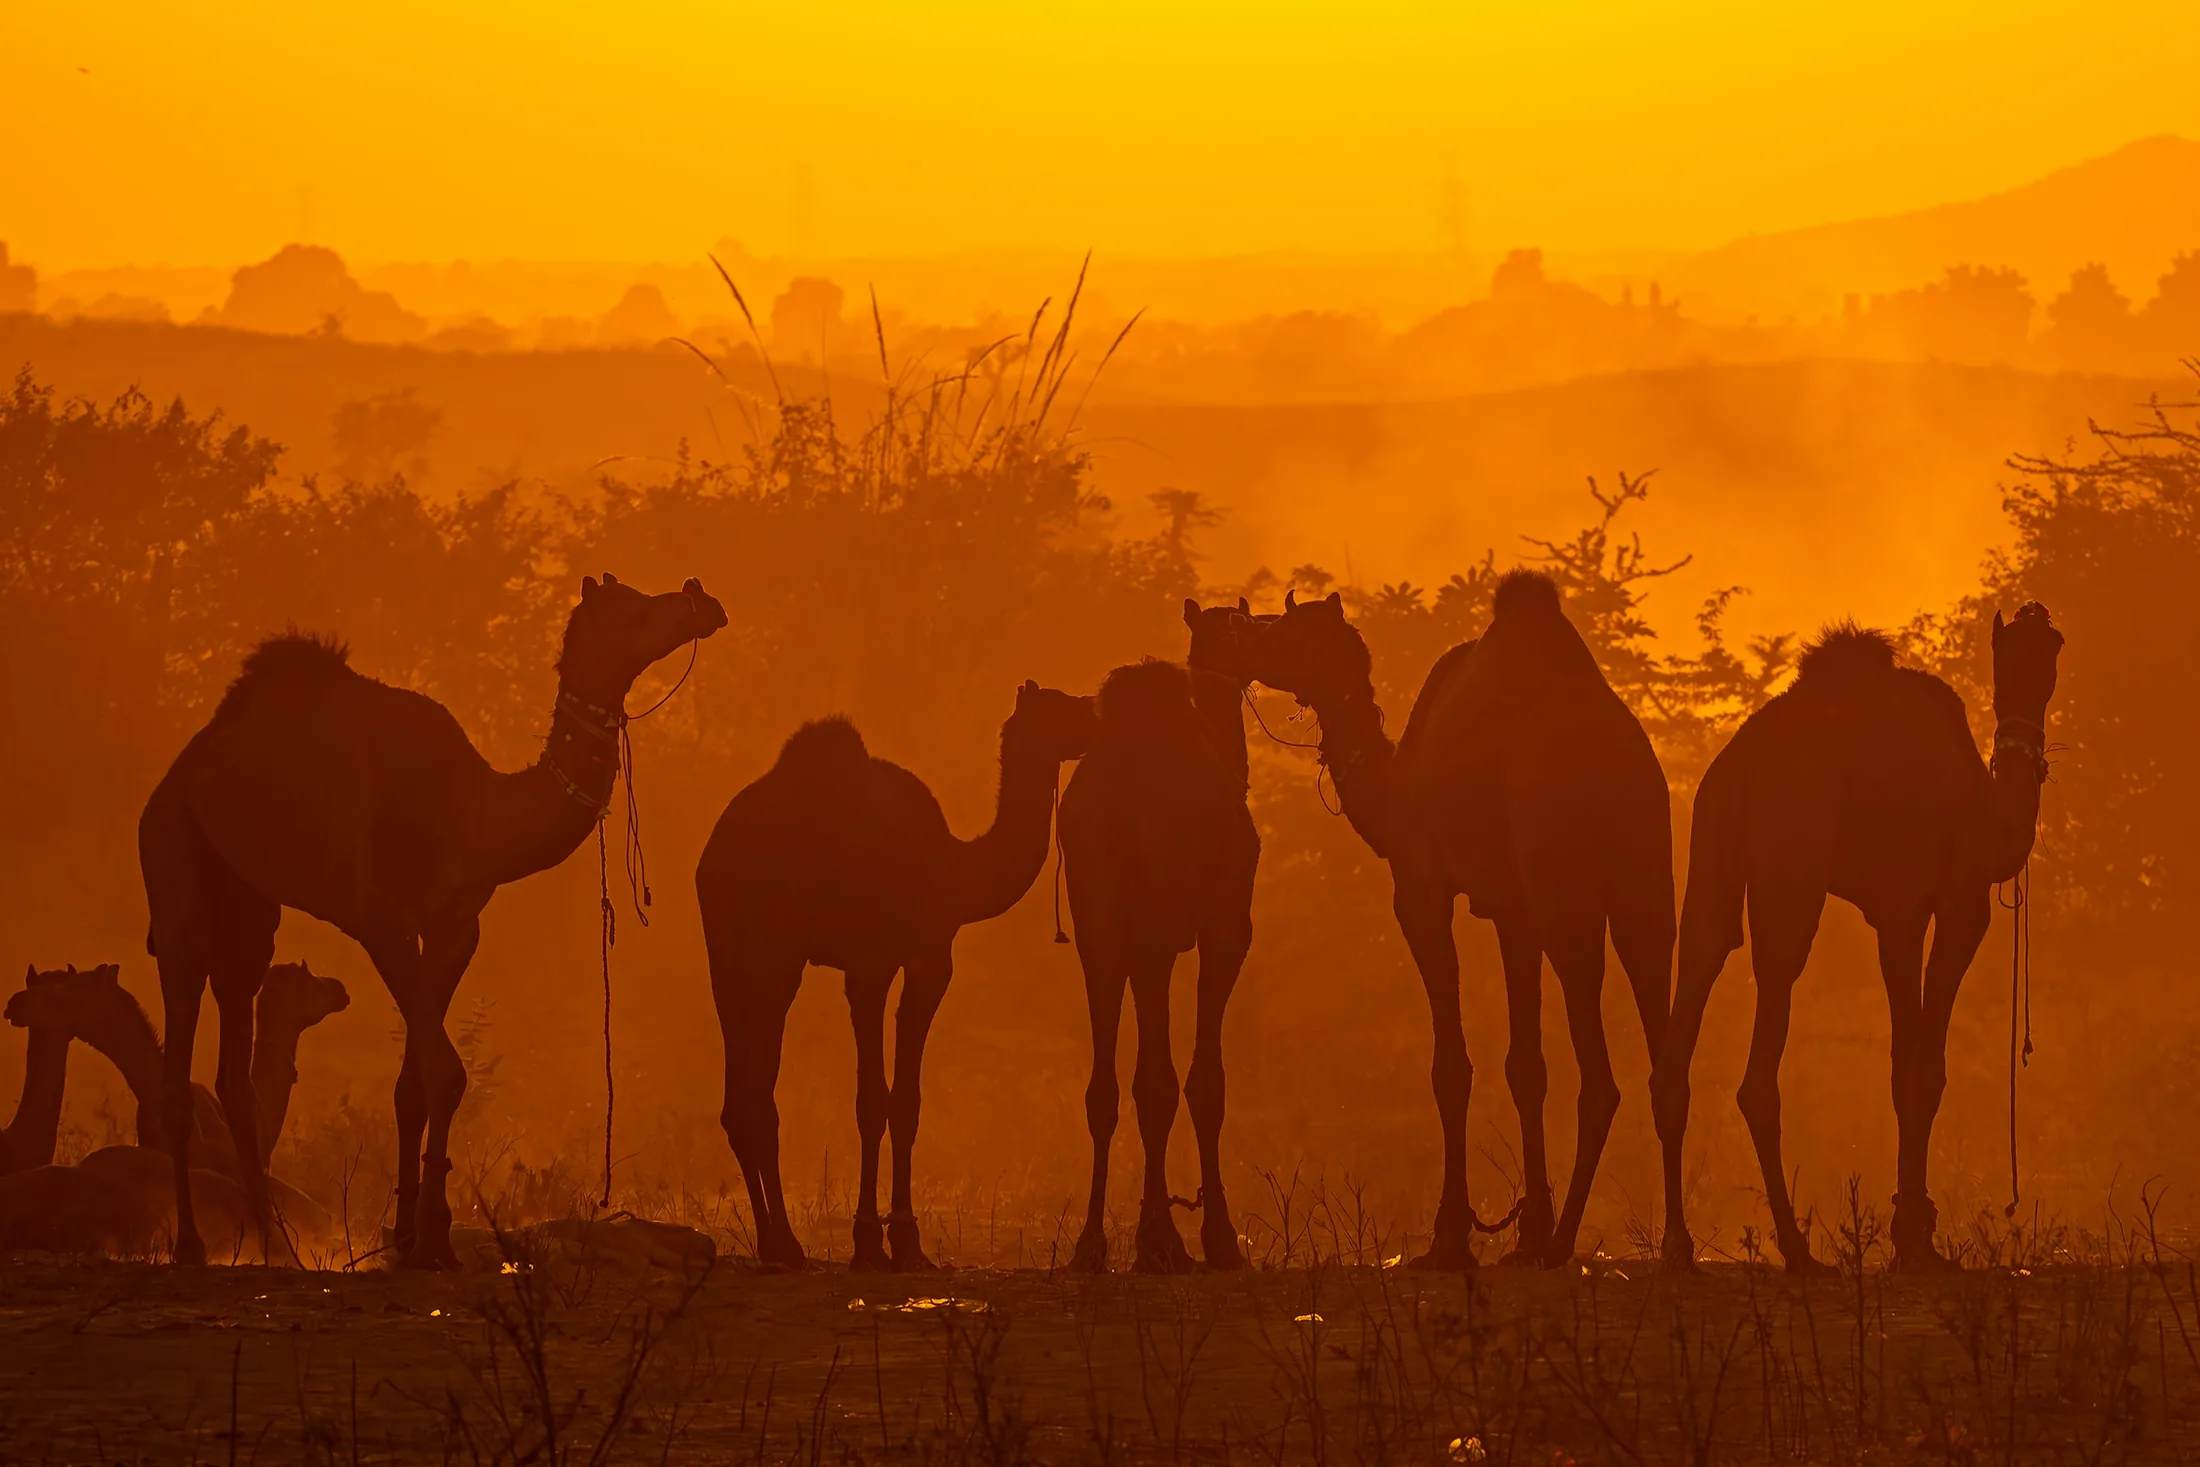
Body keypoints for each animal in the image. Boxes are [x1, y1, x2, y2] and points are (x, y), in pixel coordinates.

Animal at [140, 572, 726, 1266]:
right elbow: (445, 1072)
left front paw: (410, 1237)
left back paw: (277, 1245)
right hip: (173, 855)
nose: (702, 599)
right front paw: (434, 1242)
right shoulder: (381, 922)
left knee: (236, 1044)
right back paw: (192, 1246)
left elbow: (415, 1083)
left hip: (249, 901)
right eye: (634, 609)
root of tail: (185, 768)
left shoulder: (454, 926)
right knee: (179, 1034)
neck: (475, 812)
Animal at [698, 680, 1096, 1270]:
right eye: (1061, 704)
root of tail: (710, 859)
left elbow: (906, 1101)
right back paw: (784, 1244)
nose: (1098, 713)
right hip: (755, 954)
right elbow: (871, 1100)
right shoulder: (871, 963)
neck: (952, 868)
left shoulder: (930, 960)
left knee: (746, 1099)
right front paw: (869, 1240)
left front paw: (907, 1242)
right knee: (753, 1097)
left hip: (746, 960)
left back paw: (777, 1244)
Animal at [1058, 654, 1260, 1272]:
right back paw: (1163, 1239)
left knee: (1104, 1087)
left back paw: (1091, 1244)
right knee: (1155, 1080)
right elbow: (1203, 1082)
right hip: (1152, 922)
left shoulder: (1112, 929)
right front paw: (1215, 1240)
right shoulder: (1225, 927)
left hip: (1096, 921)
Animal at [1200, 574, 1675, 1269]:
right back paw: (1675, 1244)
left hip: (1571, 903)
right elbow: (1526, 1068)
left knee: (1602, 1079)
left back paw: (1564, 1245)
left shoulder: (1422, 887)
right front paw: (1525, 1230)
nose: (1236, 635)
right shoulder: (1513, 912)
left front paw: (1451, 1237)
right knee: (1666, 1054)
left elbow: (1451, 1066)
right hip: (1651, 895)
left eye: (1284, 631)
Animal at [1652, 606, 2064, 1272]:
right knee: (1766, 1032)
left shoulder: (1895, 916)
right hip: (1793, 858)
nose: (2037, 614)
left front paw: (1912, 1231)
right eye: (2021, 648)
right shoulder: (1951, 905)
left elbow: (1903, 1066)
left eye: (2051, 646)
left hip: (1708, 848)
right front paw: (1917, 1241)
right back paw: (1797, 1249)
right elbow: (1924, 1069)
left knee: (1699, 964)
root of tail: (1740, 766)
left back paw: (1679, 1246)